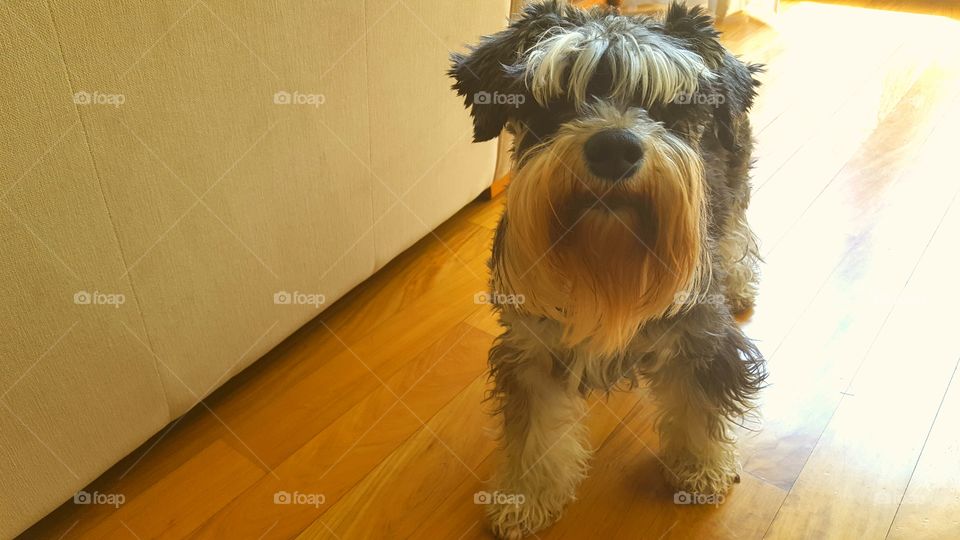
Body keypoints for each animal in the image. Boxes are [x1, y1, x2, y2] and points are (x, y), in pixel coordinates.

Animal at [446, 2, 768, 536]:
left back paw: (739, 283)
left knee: (738, 229)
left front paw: (701, 467)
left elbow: (698, 401)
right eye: (555, 100)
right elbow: (535, 429)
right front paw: (525, 496)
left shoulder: (699, 334)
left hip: (737, 176)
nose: (614, 148)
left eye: (666, 105)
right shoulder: (532, 348)